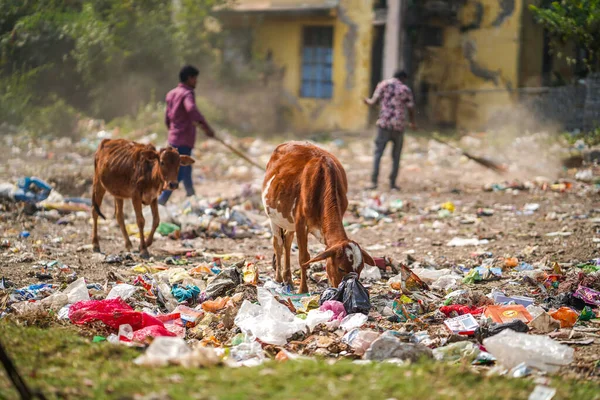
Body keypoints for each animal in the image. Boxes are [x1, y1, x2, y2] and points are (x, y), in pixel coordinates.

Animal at [264, 141, 376, 294]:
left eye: (361, 269)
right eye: (341, 268)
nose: (344, 287)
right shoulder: (300, 223)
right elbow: (304, 258)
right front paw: (303, 290)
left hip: (288, 220)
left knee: (287, 241)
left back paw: (288, 280)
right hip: (273, 217)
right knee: (278, 245)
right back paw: (279, 279)